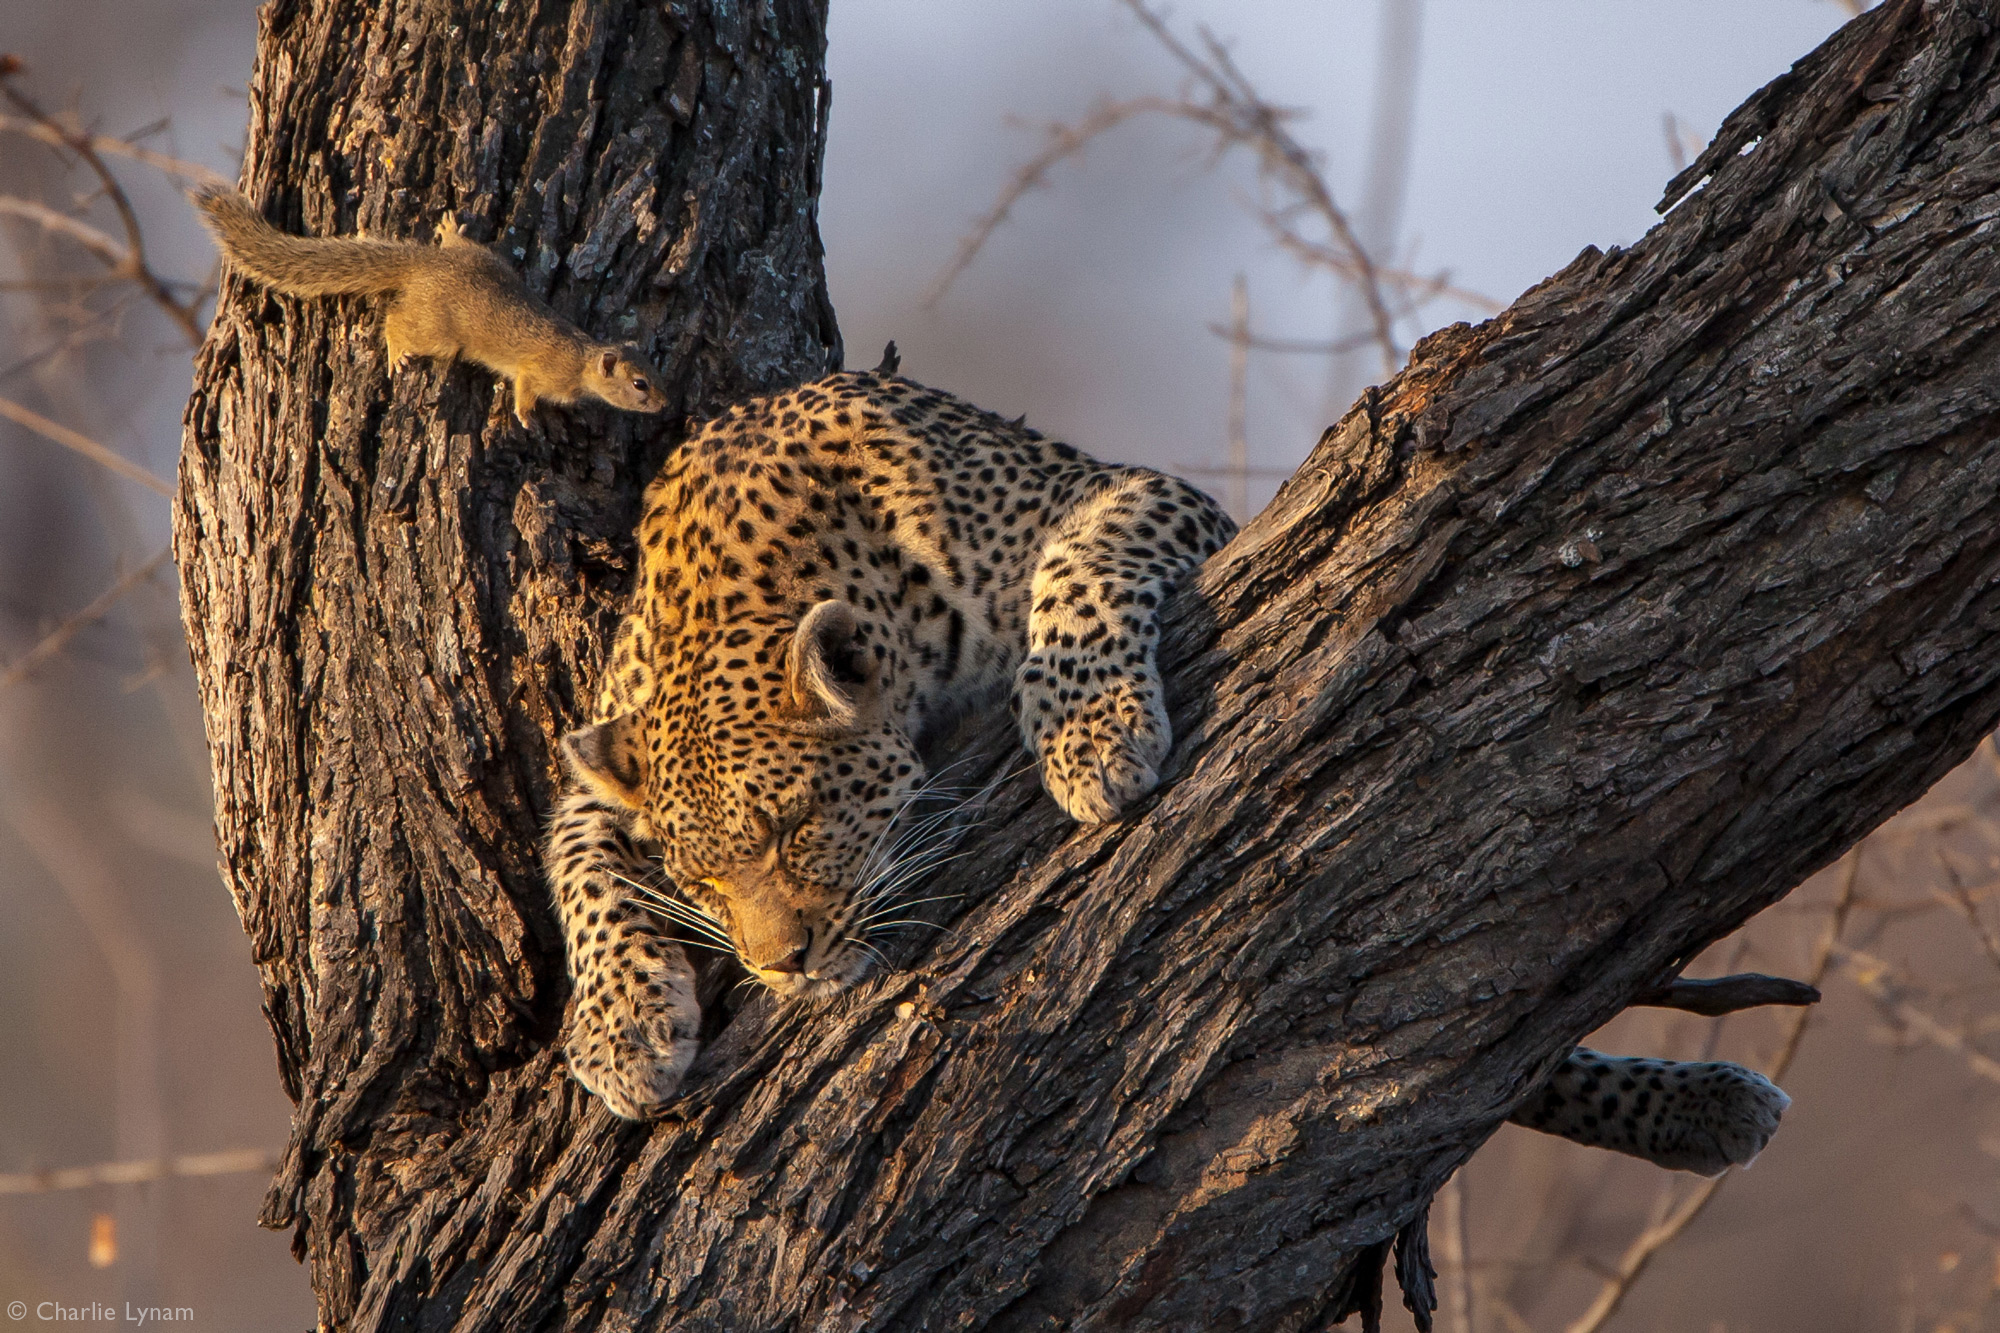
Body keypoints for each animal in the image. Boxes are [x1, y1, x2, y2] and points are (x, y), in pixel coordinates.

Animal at [201, 187, 672, 422]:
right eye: (639, 384)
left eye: (654, 372)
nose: (665, 405)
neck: (581, 360)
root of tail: (425, 265)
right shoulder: (538, 370)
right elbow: (523, 387)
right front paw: (525, 416)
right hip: (440, 333)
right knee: (396, 320)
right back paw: (396, 351)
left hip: (479, 260)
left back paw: (451, 231)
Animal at [540, 364, 1792, 1176]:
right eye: (702, 883)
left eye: (796, 826)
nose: (779, 964)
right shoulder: (600, 744)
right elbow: (579, 866)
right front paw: (618, 1029)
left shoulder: (1125, 492)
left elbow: (1078, 570)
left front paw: (1090, 736)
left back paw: (1704, 1105)